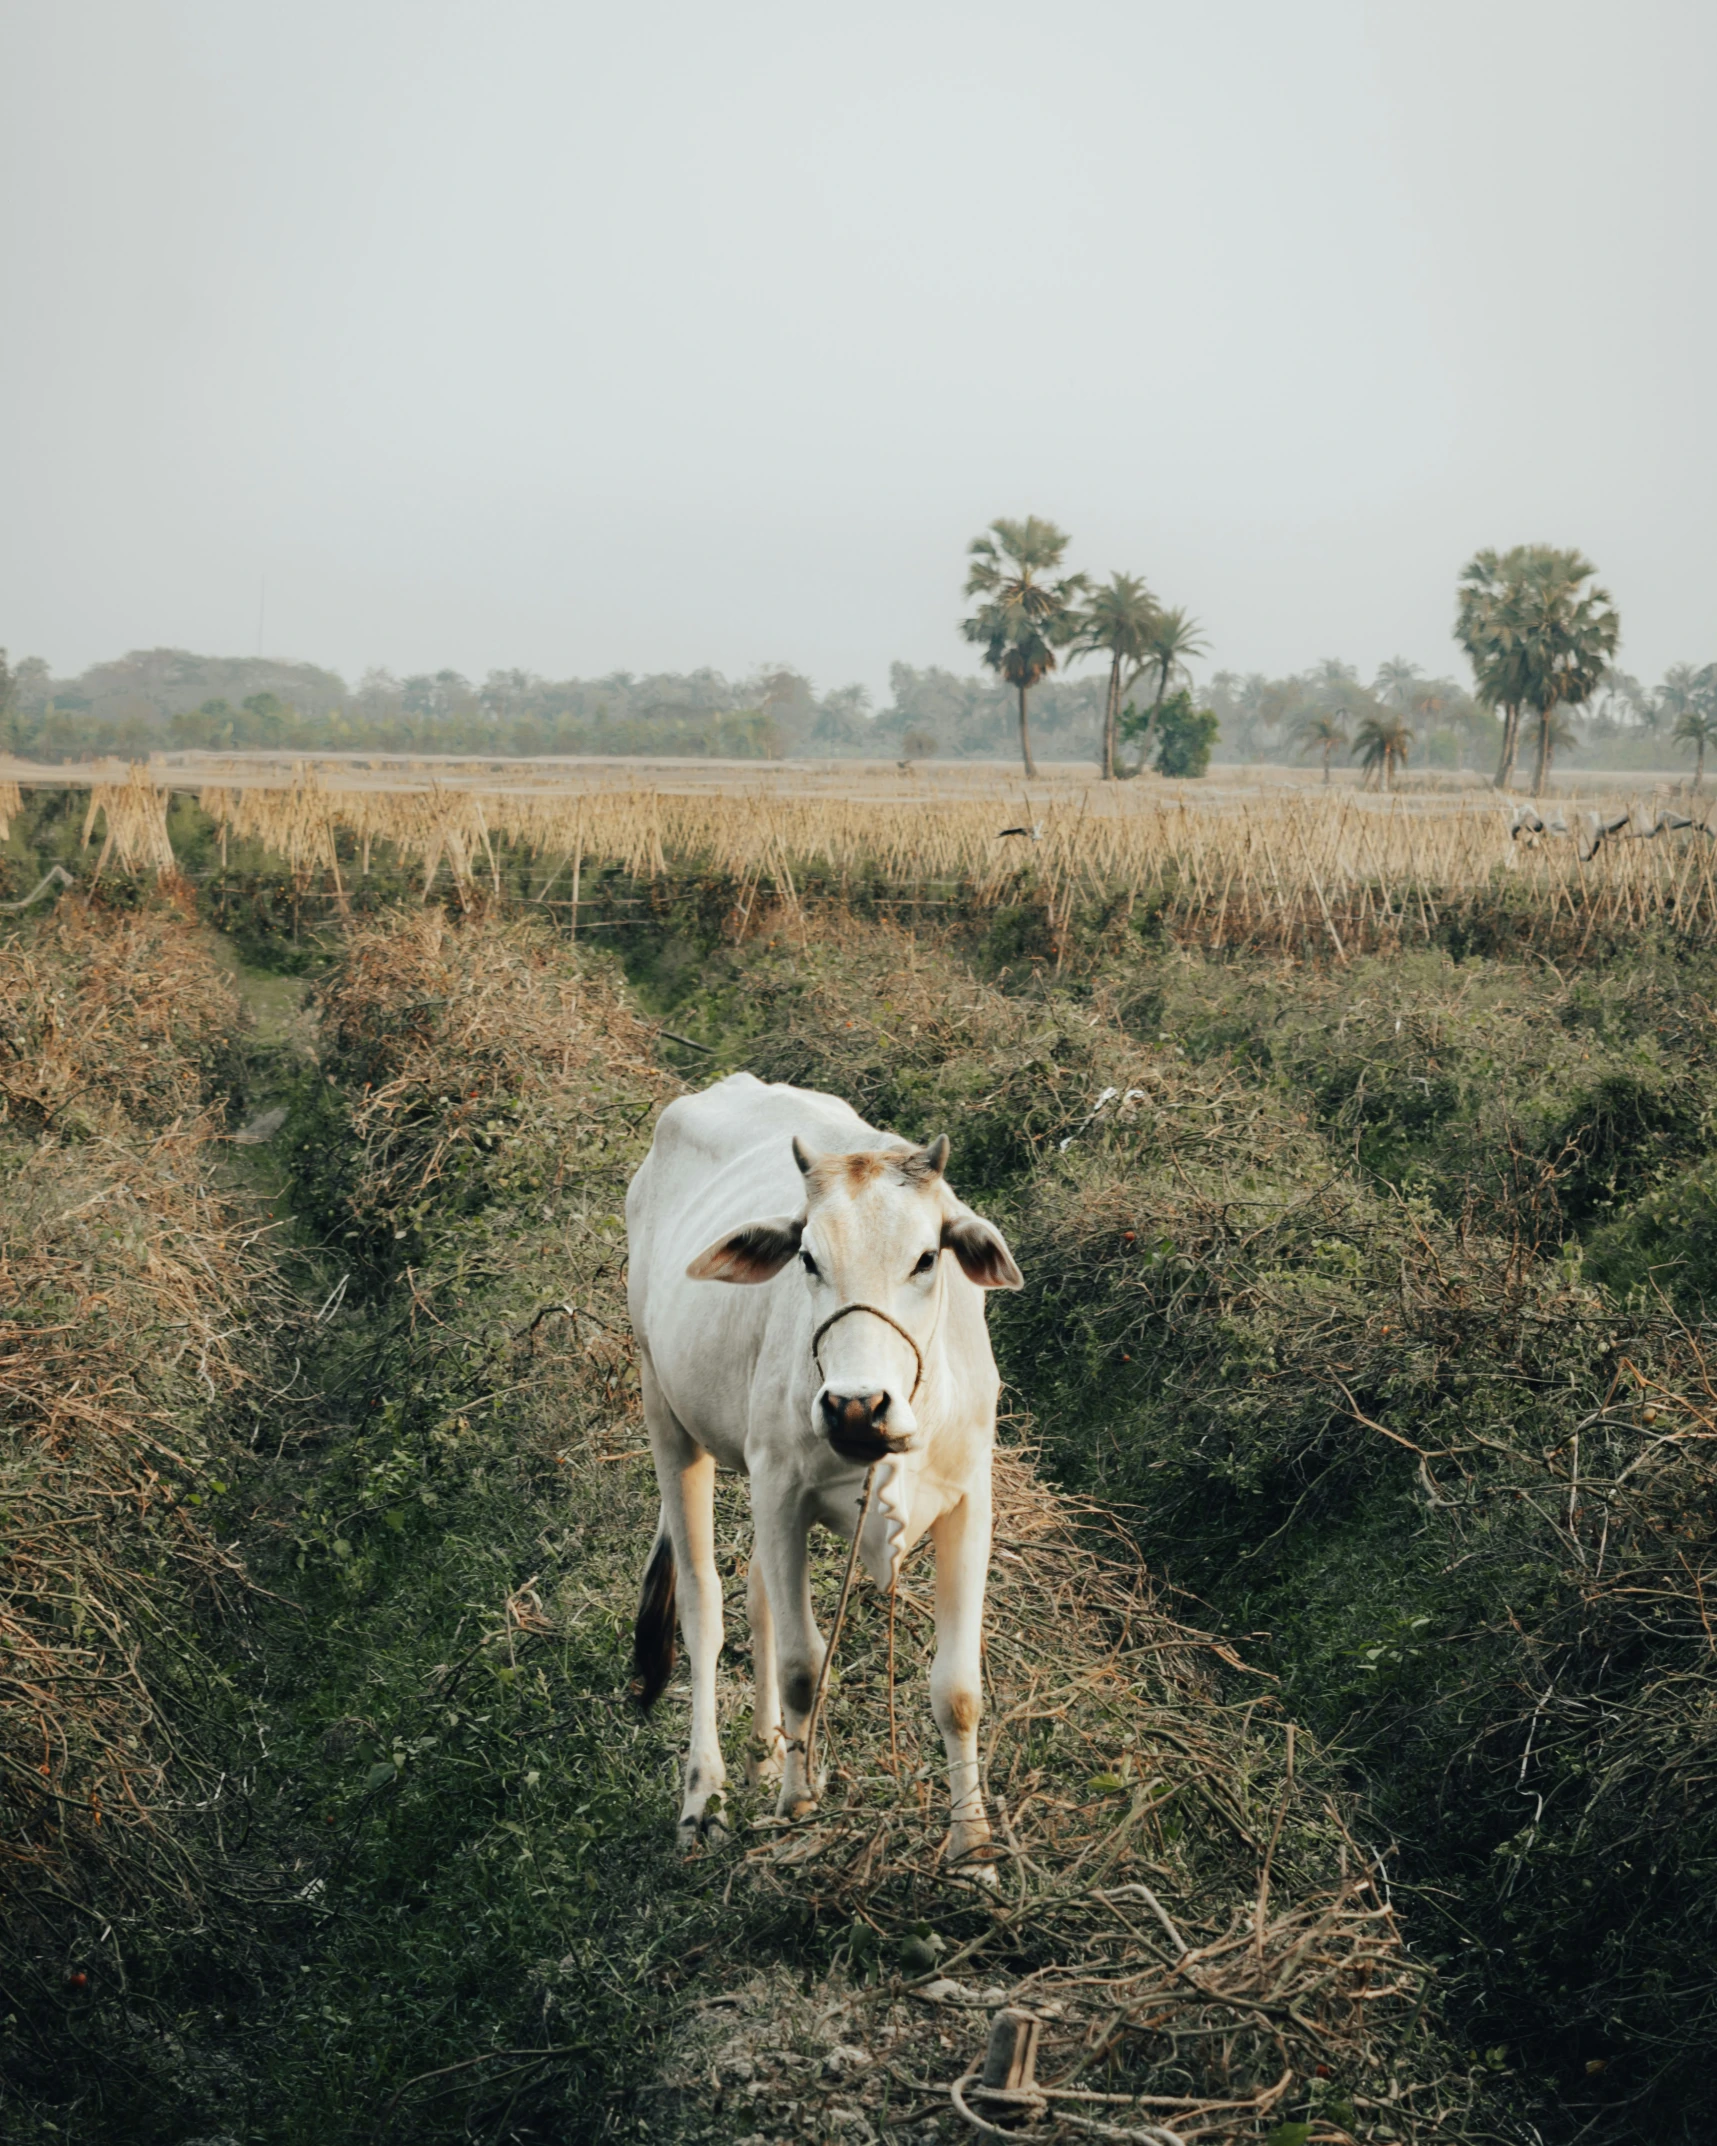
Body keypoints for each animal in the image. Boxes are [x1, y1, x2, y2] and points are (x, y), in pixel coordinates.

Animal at [622, 1081, 1021, 1871]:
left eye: (926, 1258)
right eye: (806, 1257)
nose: (855, 1406)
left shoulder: (970, 1503)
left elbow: (958, 1689)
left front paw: (971, 1850)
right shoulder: (782, 1494)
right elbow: (804, 1664)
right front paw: (799, 1807)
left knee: (756, 1600)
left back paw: (765, 1753)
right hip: (665, 1410)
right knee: (705, 1607)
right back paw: (704, 1796)